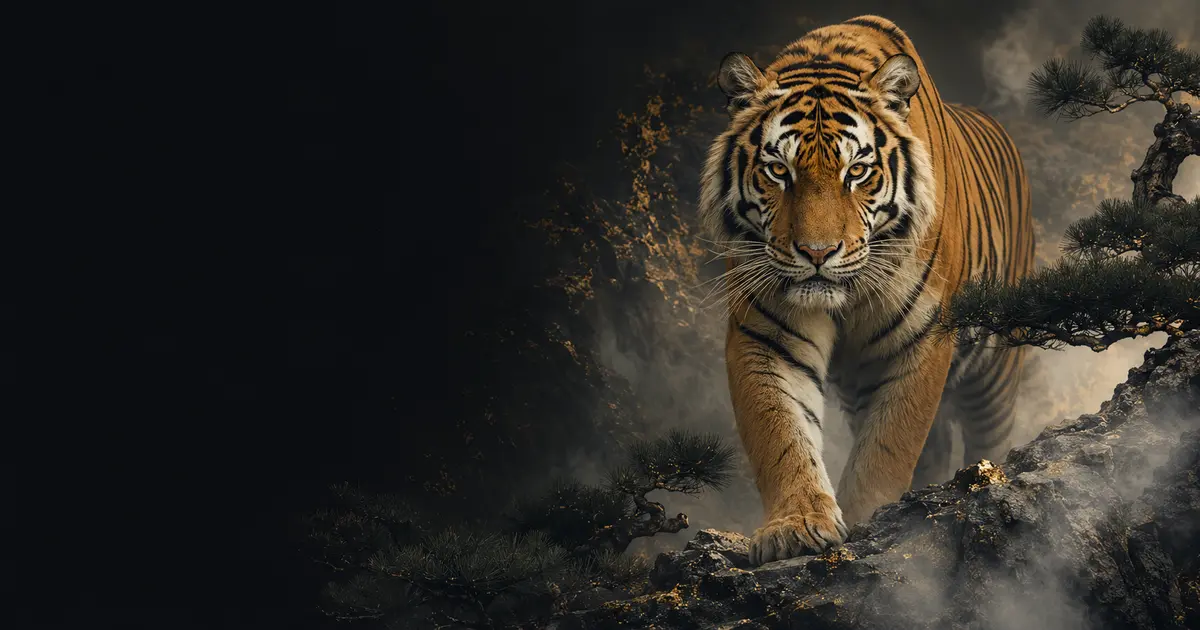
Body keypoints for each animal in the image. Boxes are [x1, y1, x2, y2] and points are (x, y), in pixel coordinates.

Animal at [698, 15, 1034, 565]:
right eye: (778, 170)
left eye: (856, 171)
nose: (817, 253)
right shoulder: (766, 334)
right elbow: (780, 433)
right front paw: (796, 526)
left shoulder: (922, 336)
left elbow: (889, 446)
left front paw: (869, 519)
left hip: (995, 370)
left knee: (988, 431)